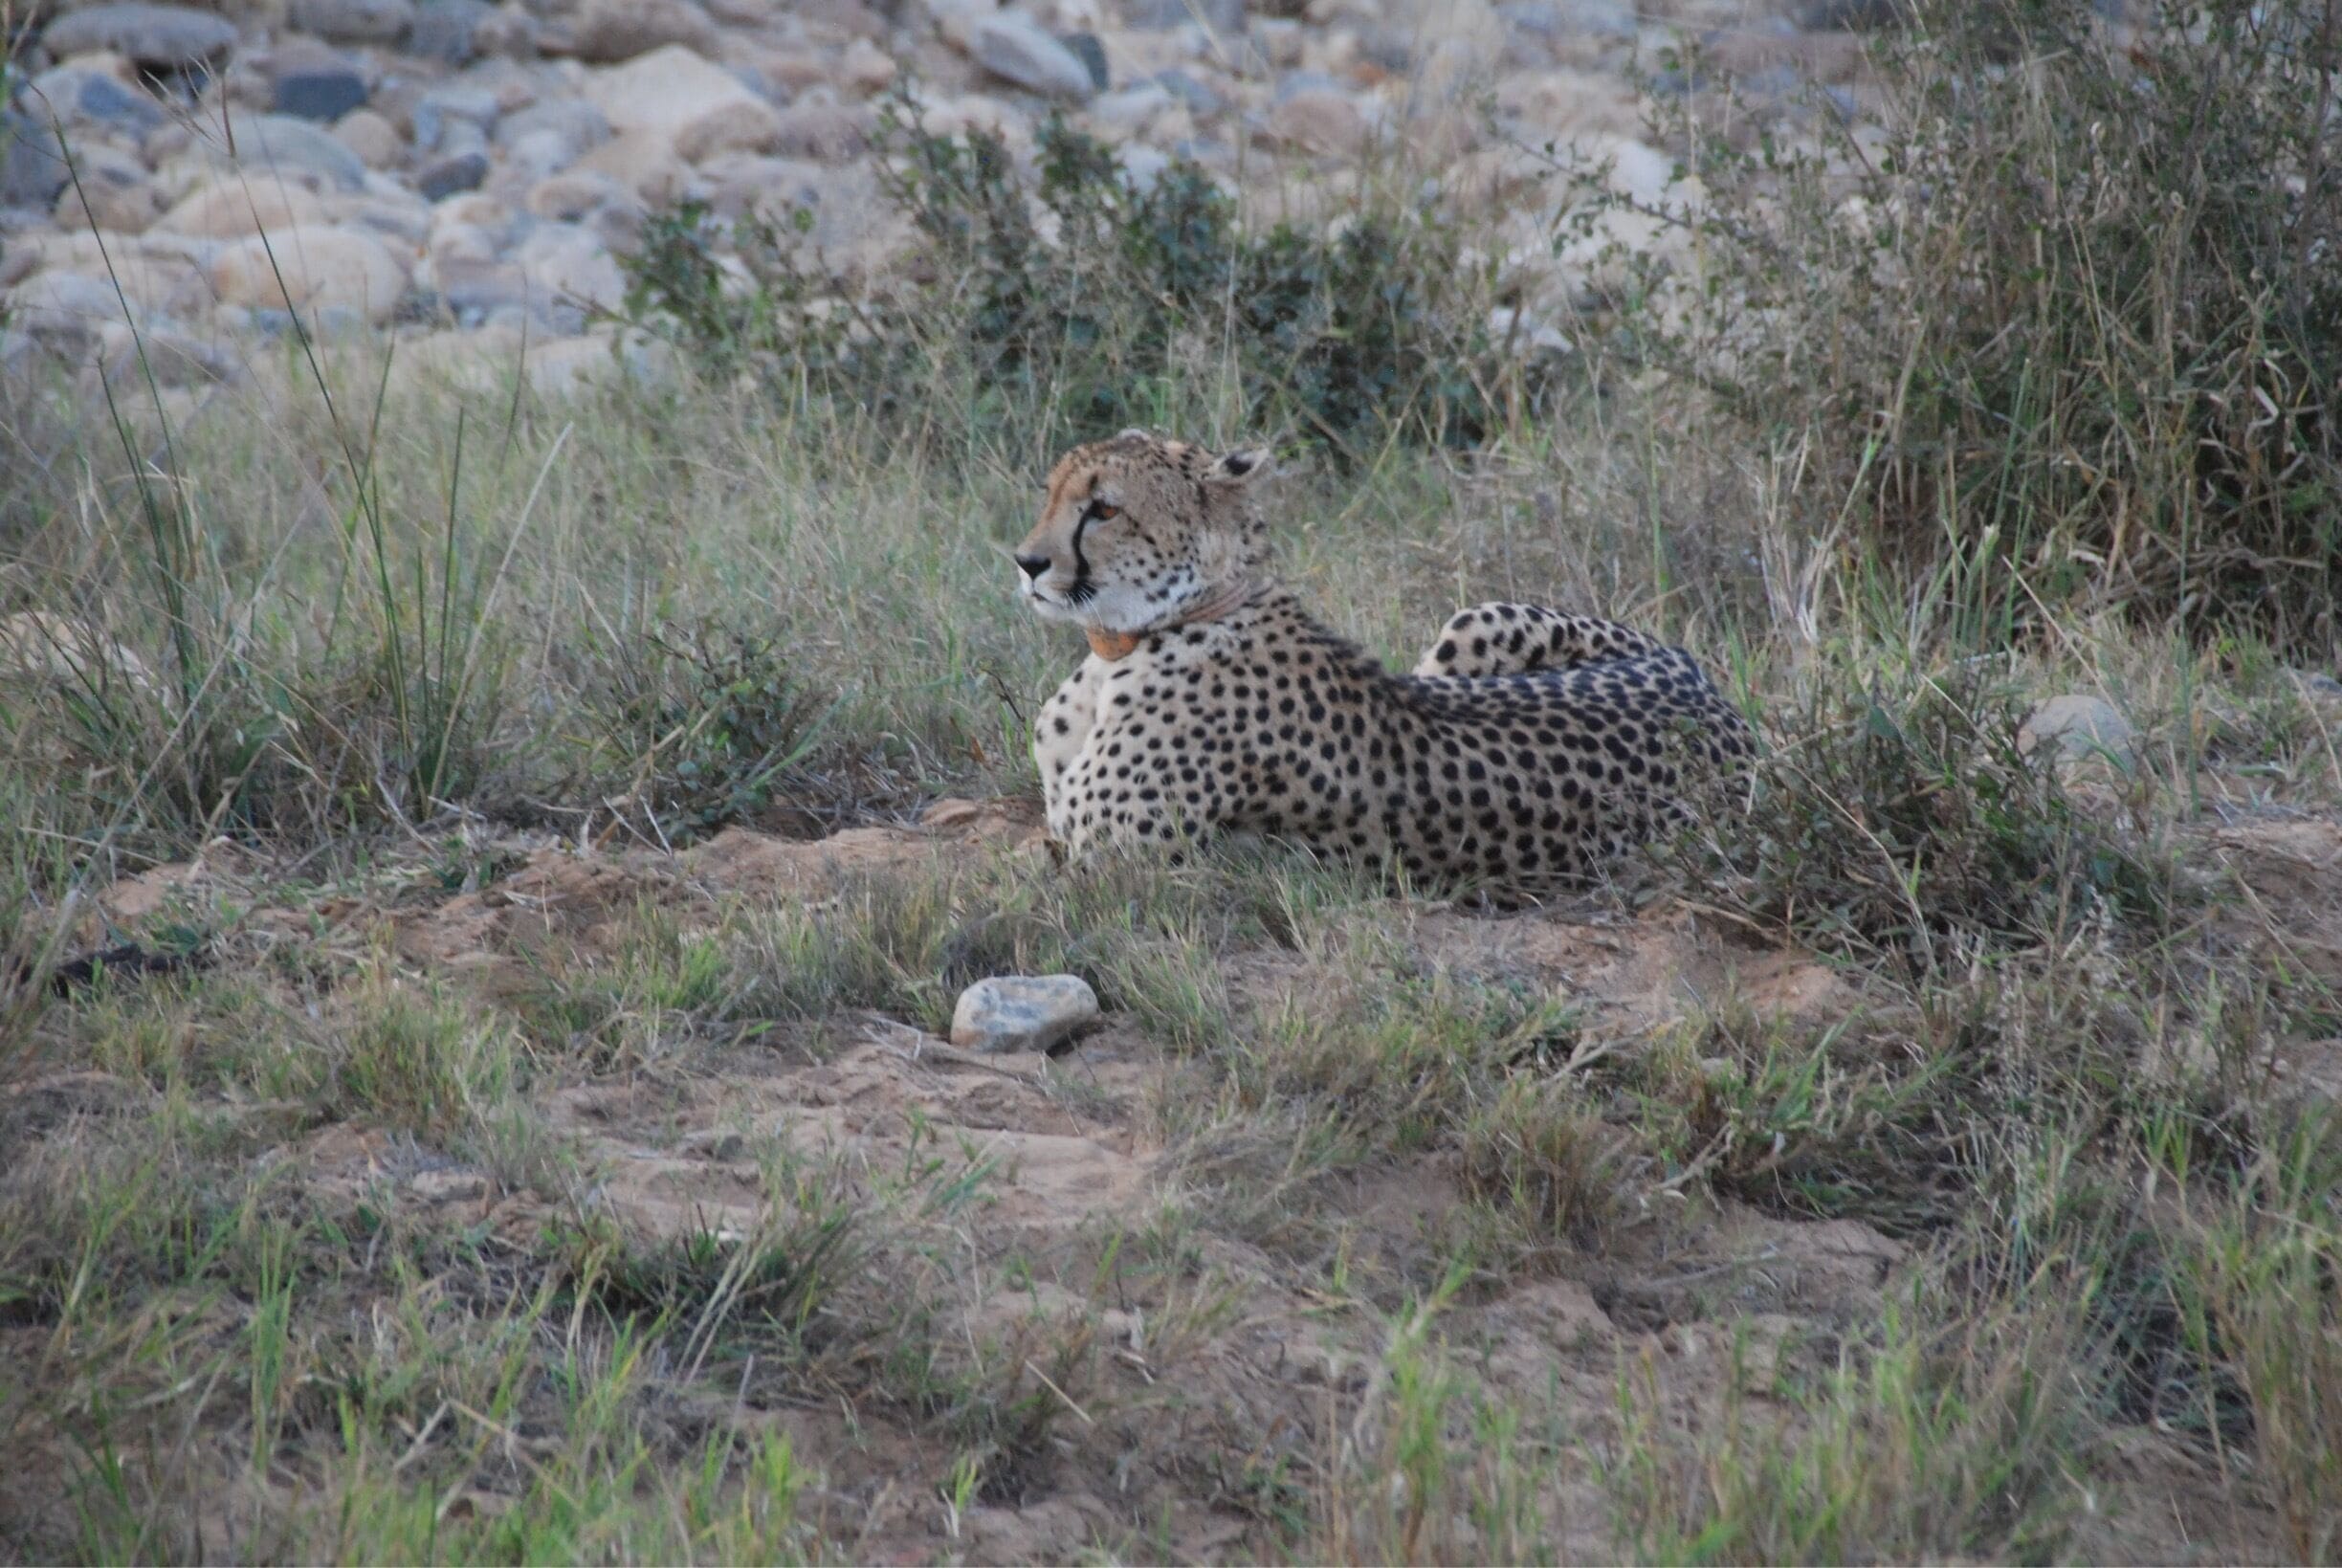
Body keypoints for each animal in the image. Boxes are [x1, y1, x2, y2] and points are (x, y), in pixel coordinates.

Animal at [1011, 430, 1752, 889]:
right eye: (1050, 493)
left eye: (1105, 510)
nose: (1026, 562)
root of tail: (1713, 695)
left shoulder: (1122, 867)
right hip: (1472, 621)